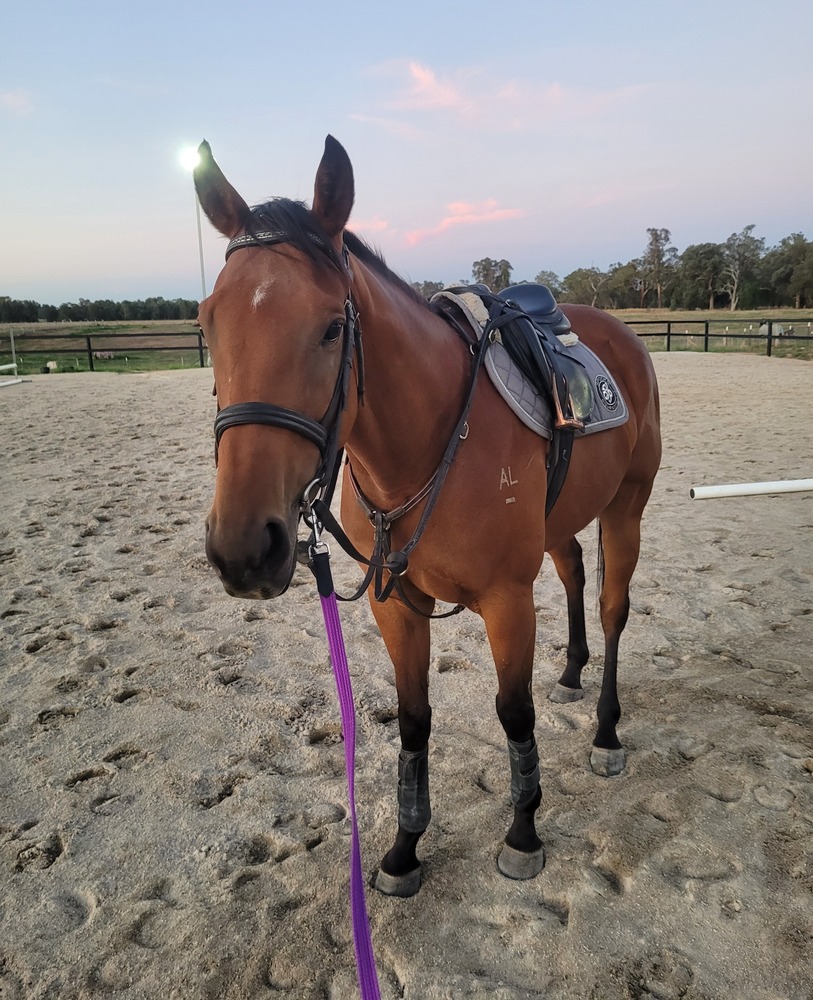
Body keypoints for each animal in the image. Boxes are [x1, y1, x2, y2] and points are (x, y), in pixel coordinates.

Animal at [193, 136, 661, 897]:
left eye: (331, 327)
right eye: (207, 323)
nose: (243, 549)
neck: (427, 445)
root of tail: (622, 332)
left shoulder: (507, 600)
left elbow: (513, 713)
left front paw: (523, 832)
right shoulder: (395, 604)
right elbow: (413, 721)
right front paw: (404, 848)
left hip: (627, 508)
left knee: (613, 608)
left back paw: (606, 732)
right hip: (562, 522)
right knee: (573, 574)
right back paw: (570, 674)